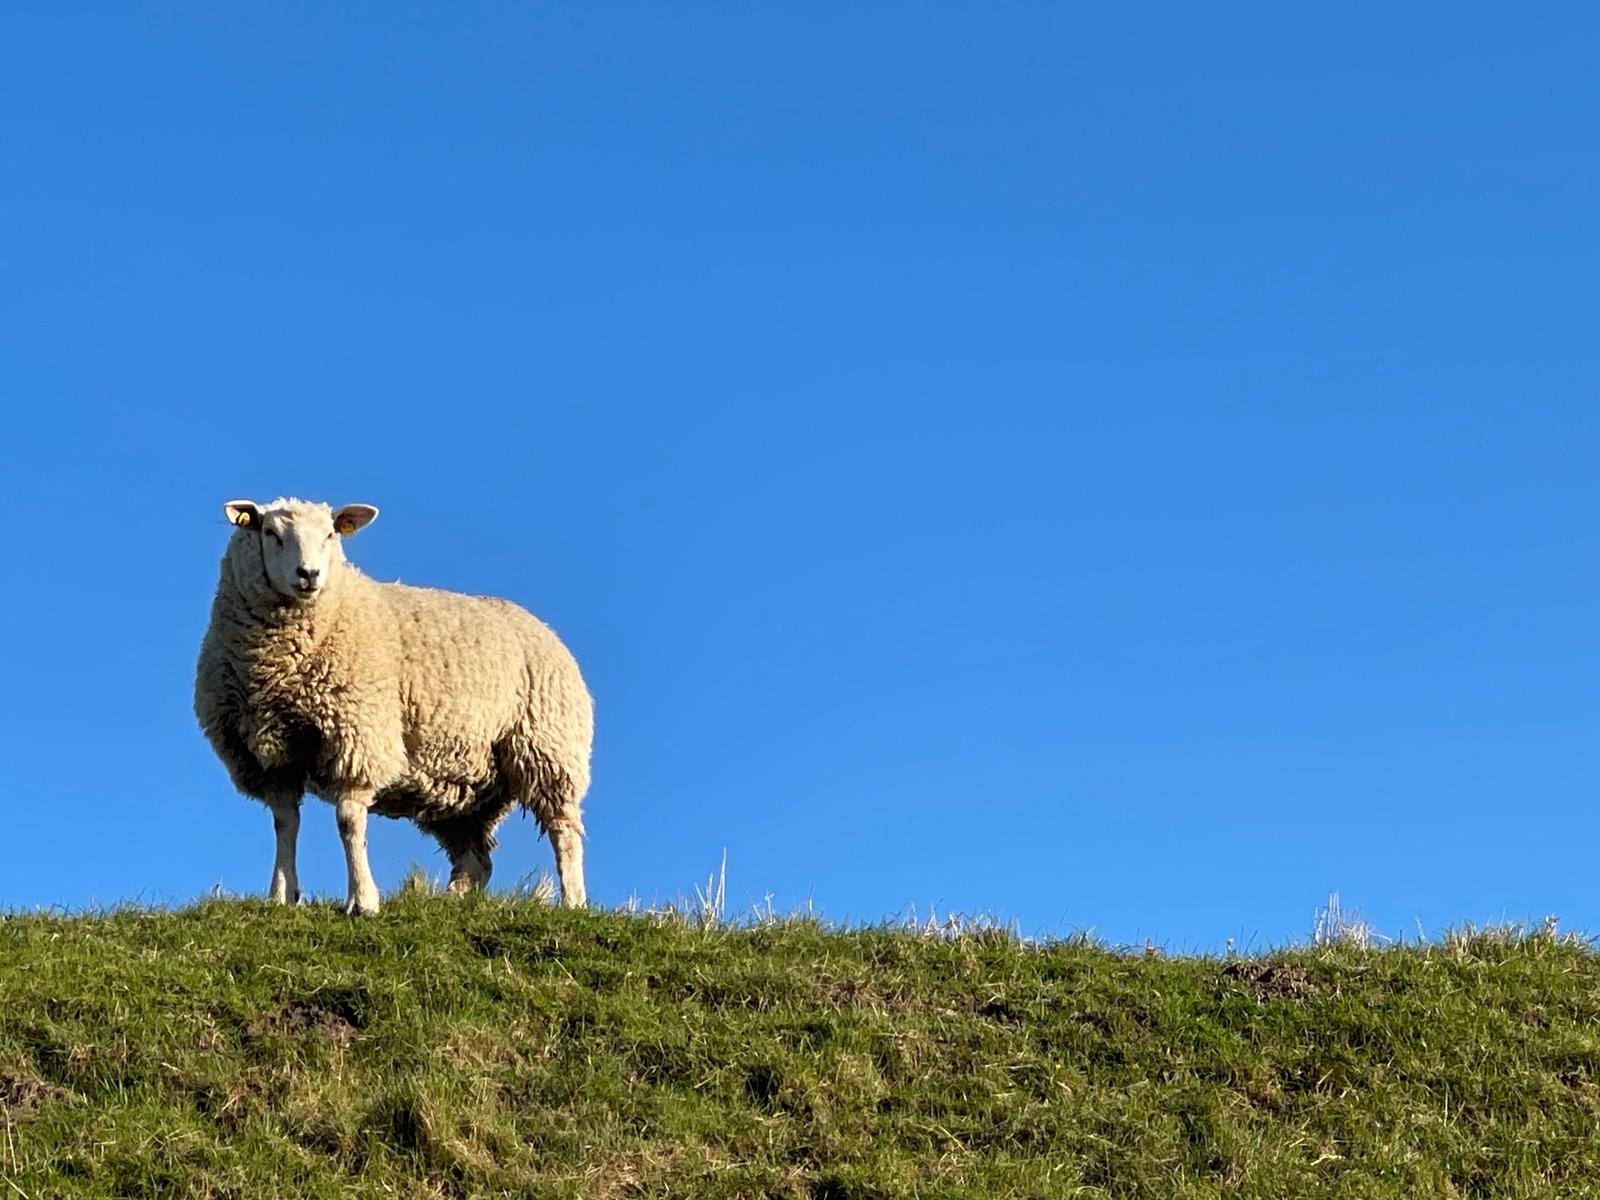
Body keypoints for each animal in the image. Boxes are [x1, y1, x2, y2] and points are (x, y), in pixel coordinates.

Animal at [194, 497, 594, 914]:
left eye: (331, 534)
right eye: (271, 533)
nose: (309, 574)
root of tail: (543, 627)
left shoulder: (357, 735)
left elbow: (349, 821)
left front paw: (363, 900)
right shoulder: (270, 757)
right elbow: (285, 823)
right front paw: (282, 895)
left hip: (548, 748)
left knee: (563, 830)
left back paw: (573, 901)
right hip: (463, 780)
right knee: (476, 857)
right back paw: (447, 901)